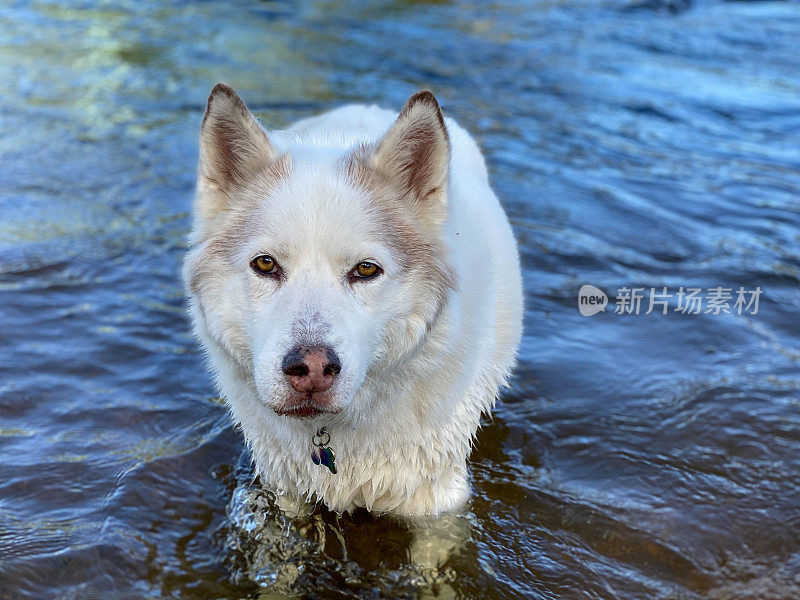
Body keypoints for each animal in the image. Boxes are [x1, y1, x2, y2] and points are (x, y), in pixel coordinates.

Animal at [184, 84, 520, 520]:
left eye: (365, 270)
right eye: (265, 264)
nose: (311, 369)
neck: (332, 432)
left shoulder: (436, 499)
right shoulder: (285, 488)